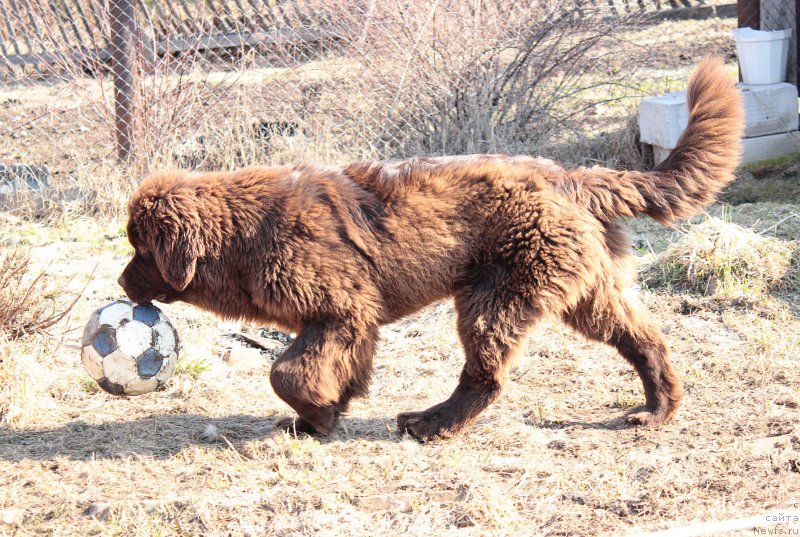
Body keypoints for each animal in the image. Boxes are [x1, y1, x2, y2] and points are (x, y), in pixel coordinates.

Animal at [117, 58, 744, 442]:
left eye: (141, 249)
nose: (120, 285)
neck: (244, 231)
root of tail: (569, 177)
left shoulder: (341, 312)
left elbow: (287, 373)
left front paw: (316, 413)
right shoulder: (352, 324)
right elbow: (336, 370)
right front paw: (324, 418)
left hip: (497, 297)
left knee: (486, 378)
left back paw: (432, 423)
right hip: (587, 289)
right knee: (646, 340)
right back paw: (658, 410)